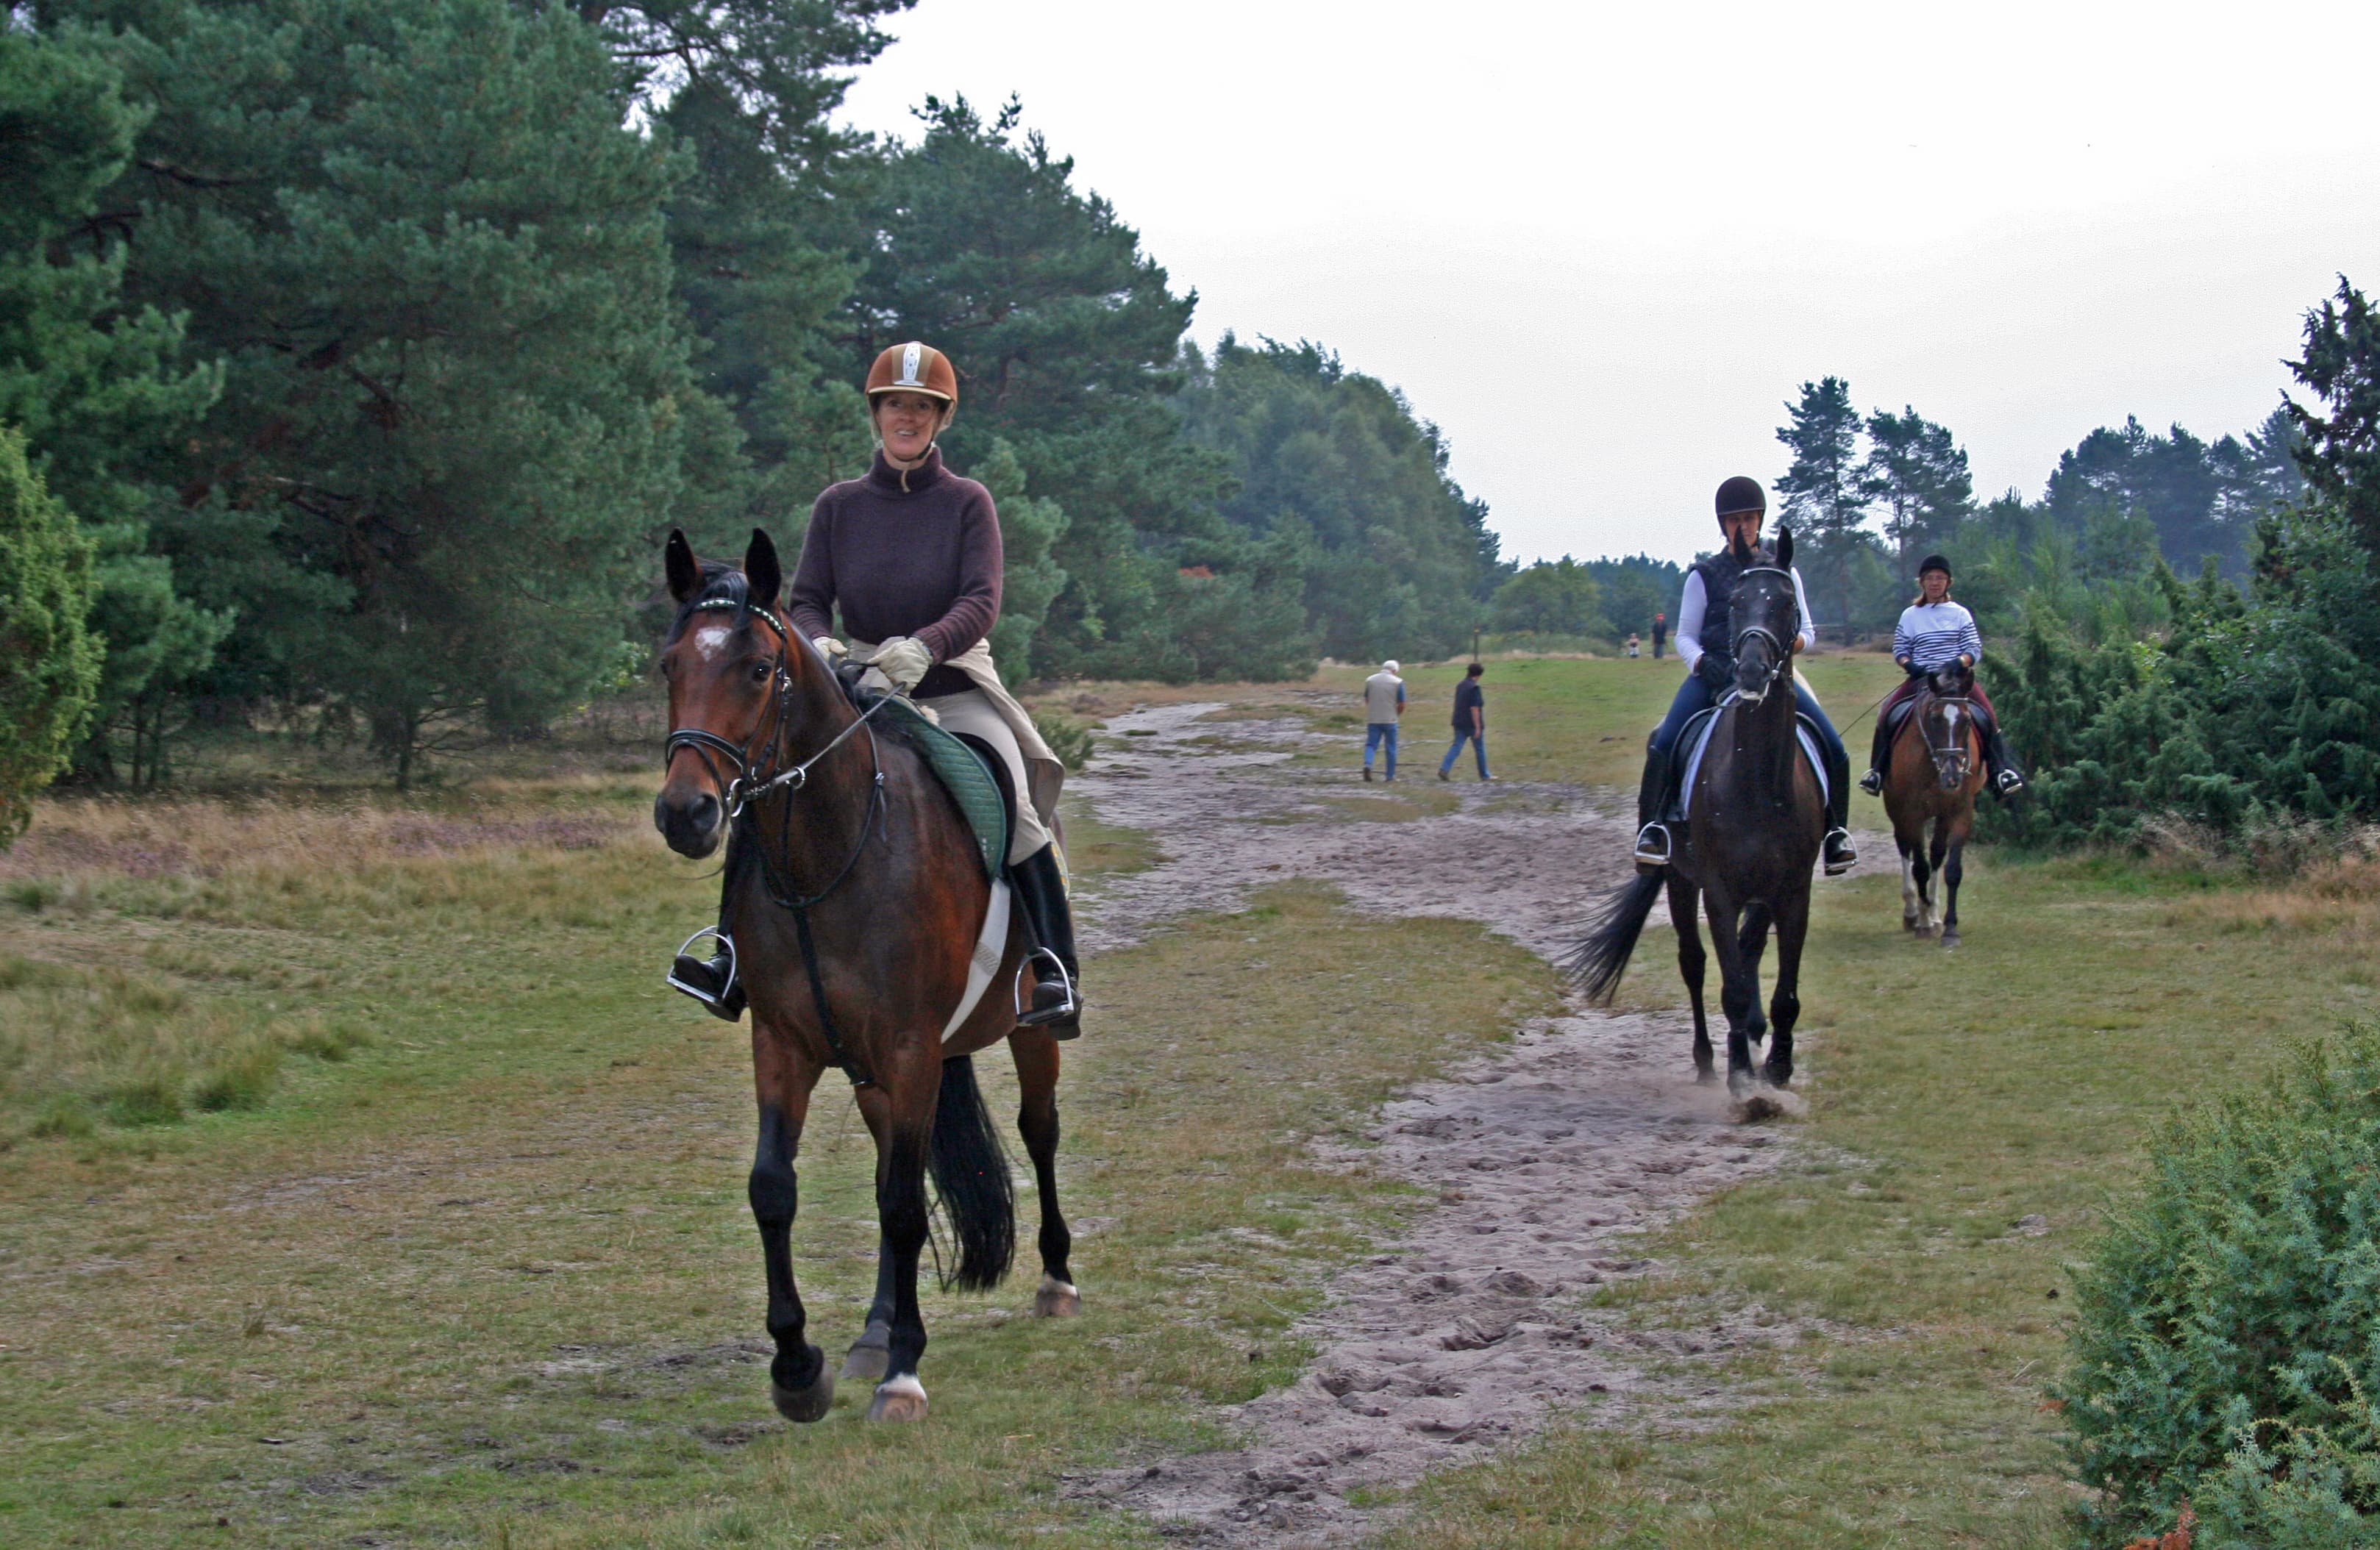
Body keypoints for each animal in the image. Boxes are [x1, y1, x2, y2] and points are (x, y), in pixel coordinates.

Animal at [652, 528, 1080, 1428]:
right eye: (669, 665)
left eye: (758, 668)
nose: (686, 813)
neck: (832, 853)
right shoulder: (785, 1044)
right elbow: (774, 1189)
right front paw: (797, 1366)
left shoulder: (912, 1049)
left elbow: (903, 1205)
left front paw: (904, 1375)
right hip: (872, 1072)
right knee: (895, 1168)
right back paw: (877, 1330)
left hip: (1021, 1032)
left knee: (1038, 1130)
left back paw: (1055, 1279)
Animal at [1875, 657, 1989, 947]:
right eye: (1935, 719)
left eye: (1967, 720)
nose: (1953, 776)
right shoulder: (1912, 813)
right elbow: (1920, 868)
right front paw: (1923, 923)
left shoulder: (1960, 812)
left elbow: (1951, 869)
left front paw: (1949, 928)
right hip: (1897, 810)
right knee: (1905, 849)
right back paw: (1913, 913)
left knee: (1937, 853)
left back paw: (1934, 913)